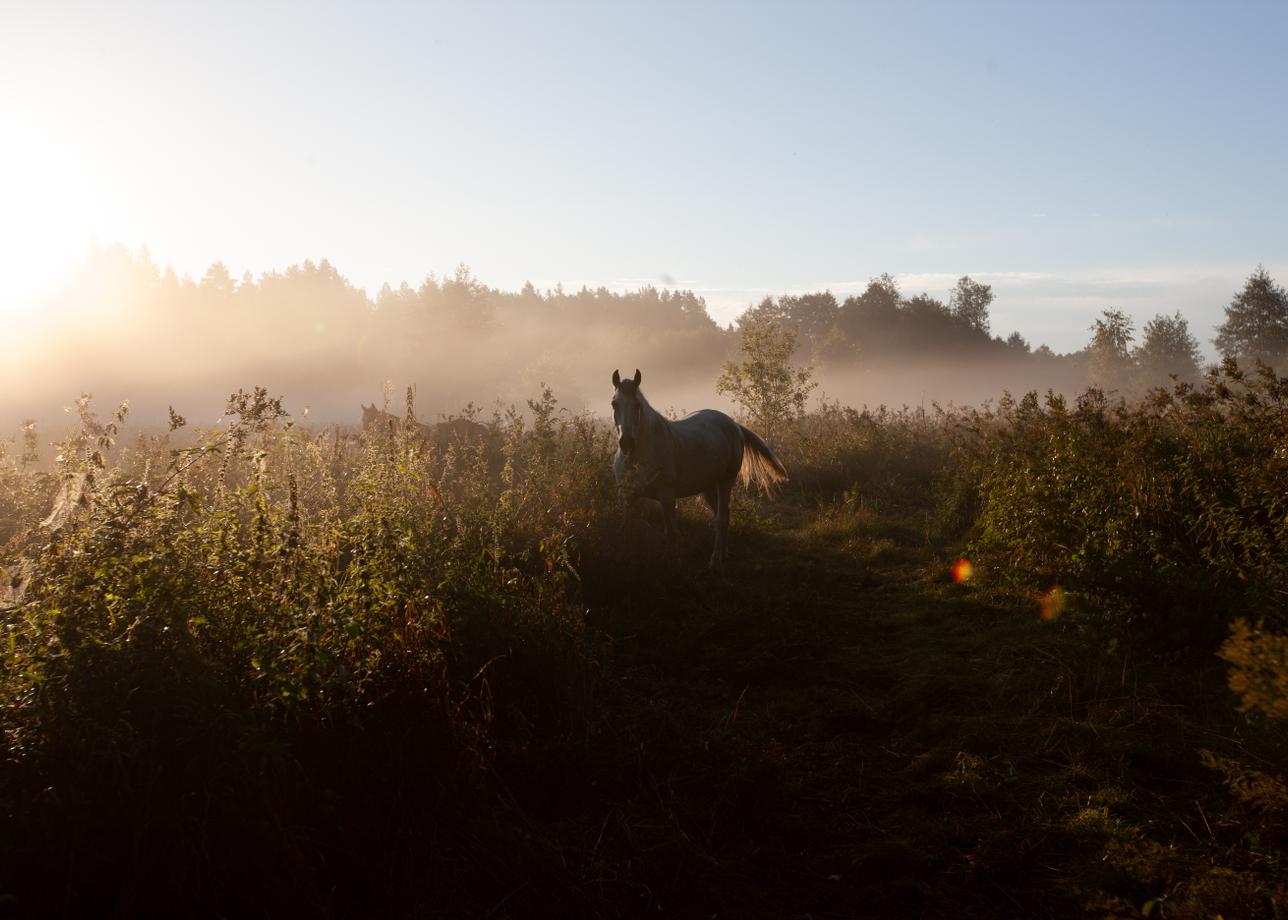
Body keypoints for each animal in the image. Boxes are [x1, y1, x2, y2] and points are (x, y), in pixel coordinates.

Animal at [610, 368, 788, 569]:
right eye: (614, 404)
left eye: (637, 405)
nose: (626, 444)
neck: (640, 455)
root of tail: (734, 424)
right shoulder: (626, 496)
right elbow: (626, 529)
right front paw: (625, 558)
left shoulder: (666, 496)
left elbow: (671, 533)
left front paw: (674, 562)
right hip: (708, 487)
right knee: (723, 514)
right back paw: (724, 554)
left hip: (726, 480)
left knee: (721, 518)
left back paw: (715, 559)